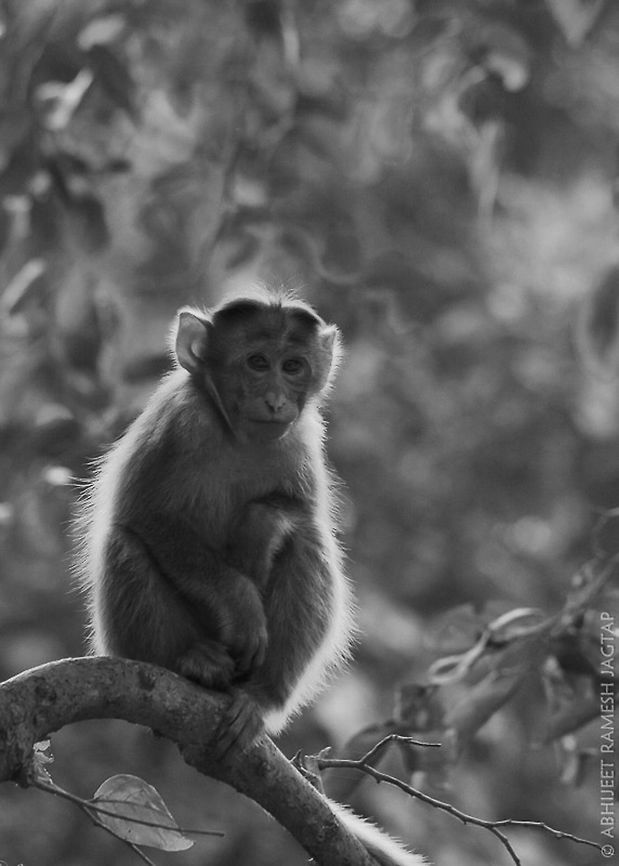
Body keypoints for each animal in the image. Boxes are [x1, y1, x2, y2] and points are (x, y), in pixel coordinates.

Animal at [77, 291, 428, 866]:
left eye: (293, 367)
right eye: (257, 363)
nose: (275, 398)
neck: (234, 434)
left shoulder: (303, 442)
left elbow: (295, 519)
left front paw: (261, 530)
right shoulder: (178, 421)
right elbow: (146, 517)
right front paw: (241, 604)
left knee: (307, 544)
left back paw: (260, 698)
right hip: (132, 641)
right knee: (126, 543)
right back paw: (189, 660)